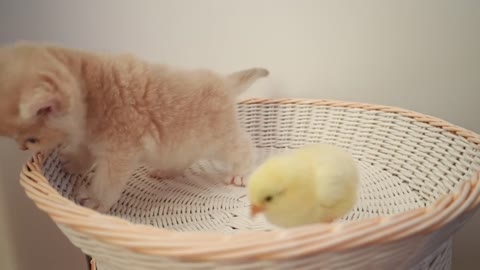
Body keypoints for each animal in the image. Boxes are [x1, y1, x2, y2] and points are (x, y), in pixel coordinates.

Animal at [0, 42, 270, 213]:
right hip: (183, 141)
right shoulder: (91, 138)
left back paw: (240, 172)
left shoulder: (120, 151)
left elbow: (107, 181)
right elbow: (84, 153)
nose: (21, 147)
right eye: (13, 137)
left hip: (217, 138)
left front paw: (95, 199)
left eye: (32, 139)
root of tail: (223, 80)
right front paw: (74, 163)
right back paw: (167, 170)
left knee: (243, 147)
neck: (89, 91)